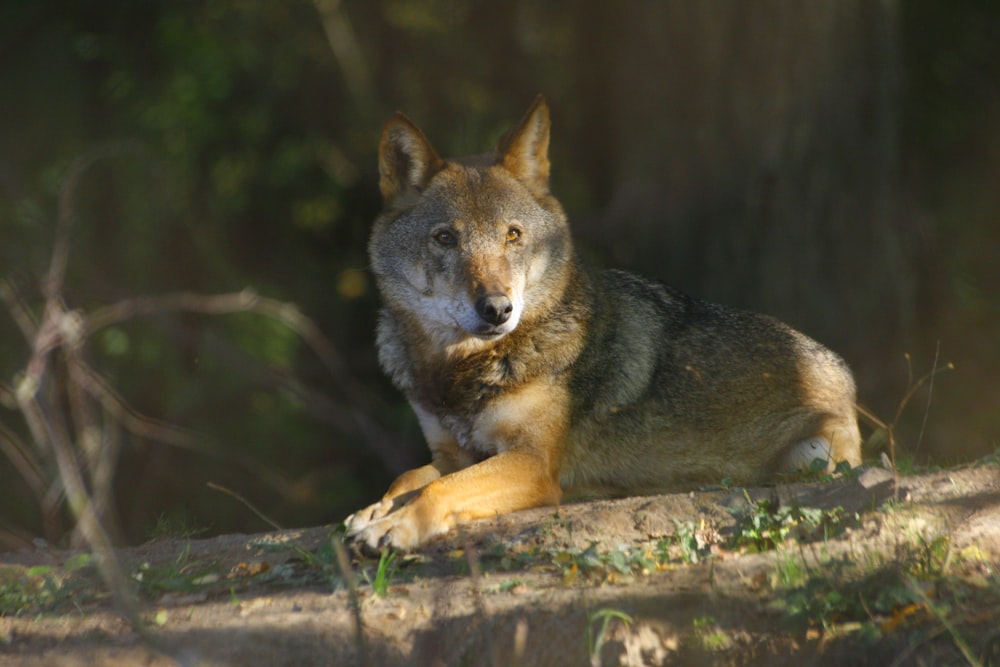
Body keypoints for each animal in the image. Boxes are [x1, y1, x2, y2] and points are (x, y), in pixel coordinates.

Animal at [344, 95, 860, 552]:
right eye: (445, 238)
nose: (497, 309)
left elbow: (437, 489)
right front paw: (375, 510)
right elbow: (409, 476)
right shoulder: (453, 453)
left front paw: (396, 525)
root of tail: (840, 370)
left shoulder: (533, 462)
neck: (462, 373)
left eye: (512, 235)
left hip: (812, 458)